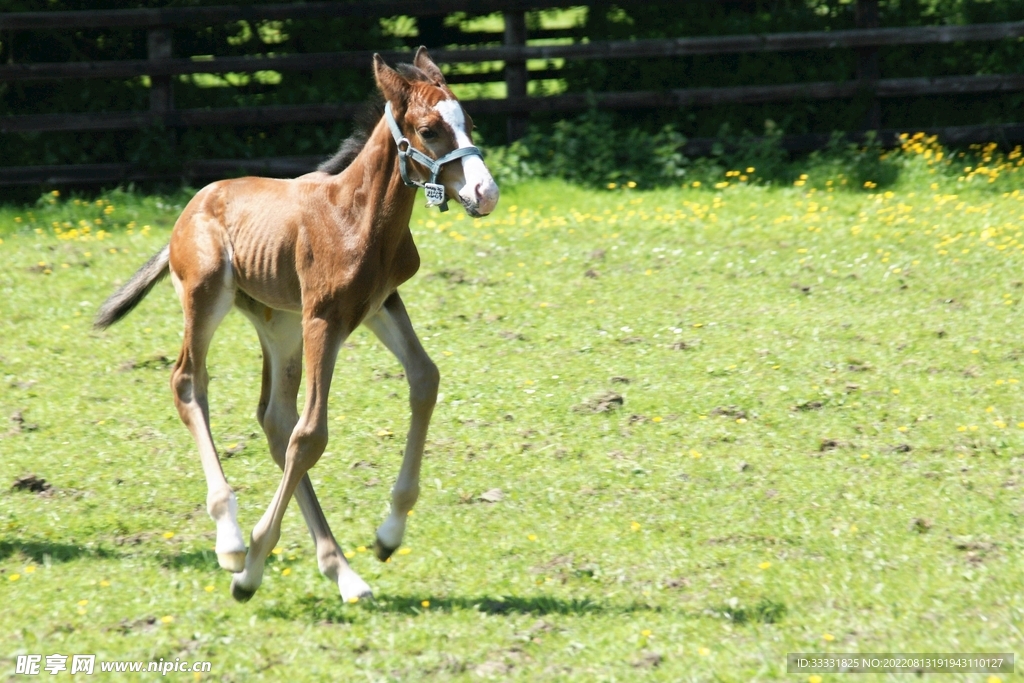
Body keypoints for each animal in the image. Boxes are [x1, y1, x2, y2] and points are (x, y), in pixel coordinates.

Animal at [94, 48, 499, 602]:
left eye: (469, 123)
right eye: (429, 130)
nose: (485, 192)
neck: (357, 216)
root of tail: (189, 208)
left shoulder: (379, 304)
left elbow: (424, 379)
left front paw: (389, 534)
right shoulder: (323, 317)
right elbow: (312, 435)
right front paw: (250, 569)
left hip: (280, 324)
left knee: (274, 419)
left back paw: (344, 573)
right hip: (207, 296)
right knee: (189, 383)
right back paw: (232, 541)